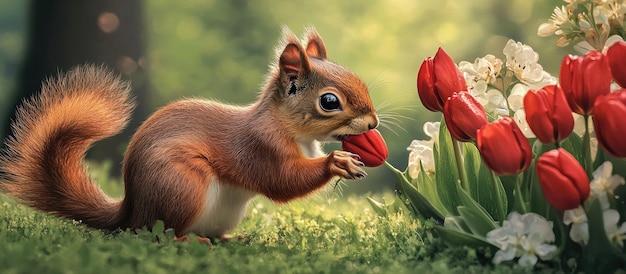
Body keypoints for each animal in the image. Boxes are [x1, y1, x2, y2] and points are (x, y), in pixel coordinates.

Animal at [0, 27, 378, 242]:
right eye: (329, 101)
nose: (373, 123)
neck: (288, 127)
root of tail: (132, 211)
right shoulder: (259, 147)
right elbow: (280, 180)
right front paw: (337, 162)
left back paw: (232, 239)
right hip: (182, 185)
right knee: (158, 236)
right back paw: (187, 242)